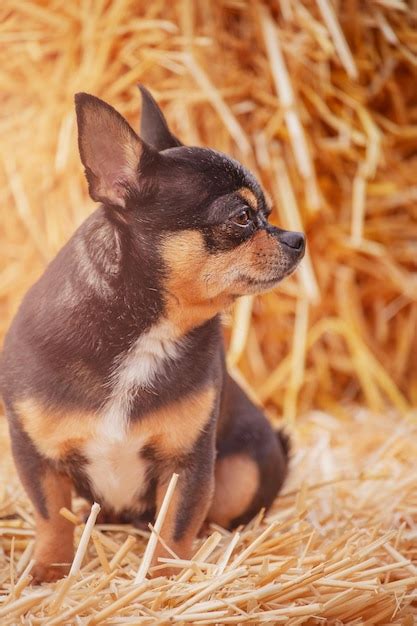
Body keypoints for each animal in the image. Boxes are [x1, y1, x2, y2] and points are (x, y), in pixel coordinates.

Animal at [0, 86, 306, 580]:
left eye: (268, 214)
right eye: (243, 217)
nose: (297, 238)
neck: (147, 331)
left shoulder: (187, 464)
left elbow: (175, 523)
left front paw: (166, 577)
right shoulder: (37, 457)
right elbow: (52, 517)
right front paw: (49, 571)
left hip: (245, 470)